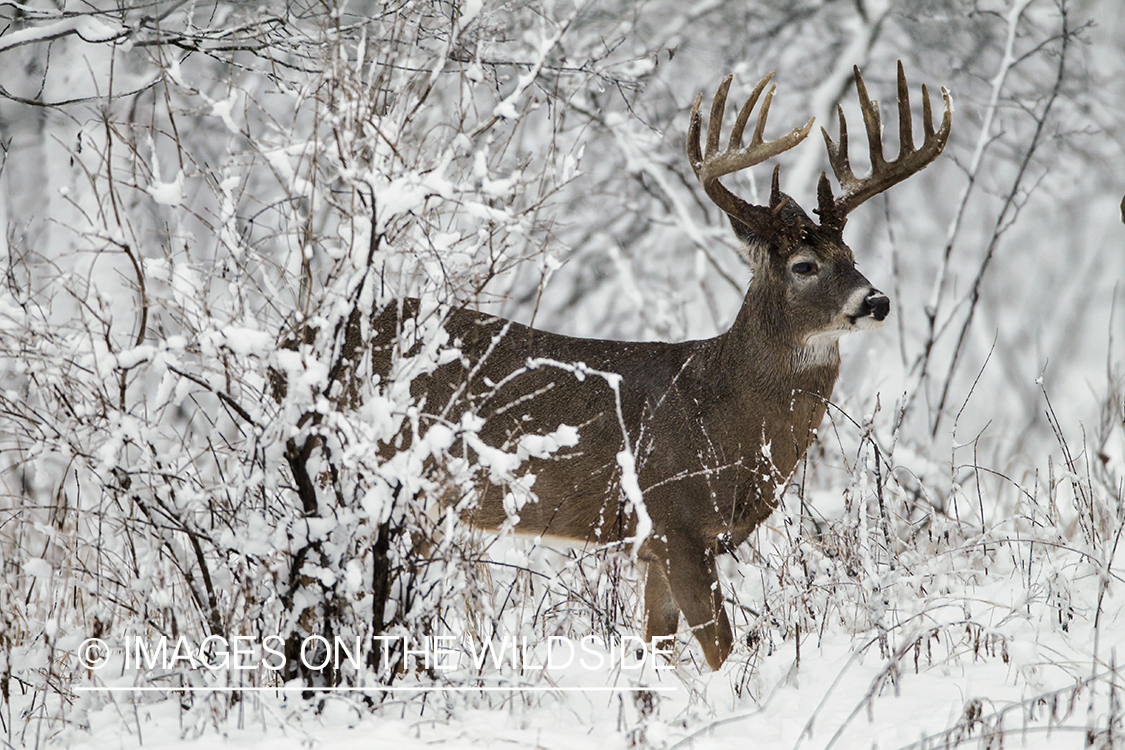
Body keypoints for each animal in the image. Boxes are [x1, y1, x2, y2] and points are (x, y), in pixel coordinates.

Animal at [355, 61, 945, 670]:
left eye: (851, 258)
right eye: (804, 265)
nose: (877, 301)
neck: (720, 412)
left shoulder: (658, 547)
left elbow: (655, 648)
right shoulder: (673, 522)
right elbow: (720, 648)